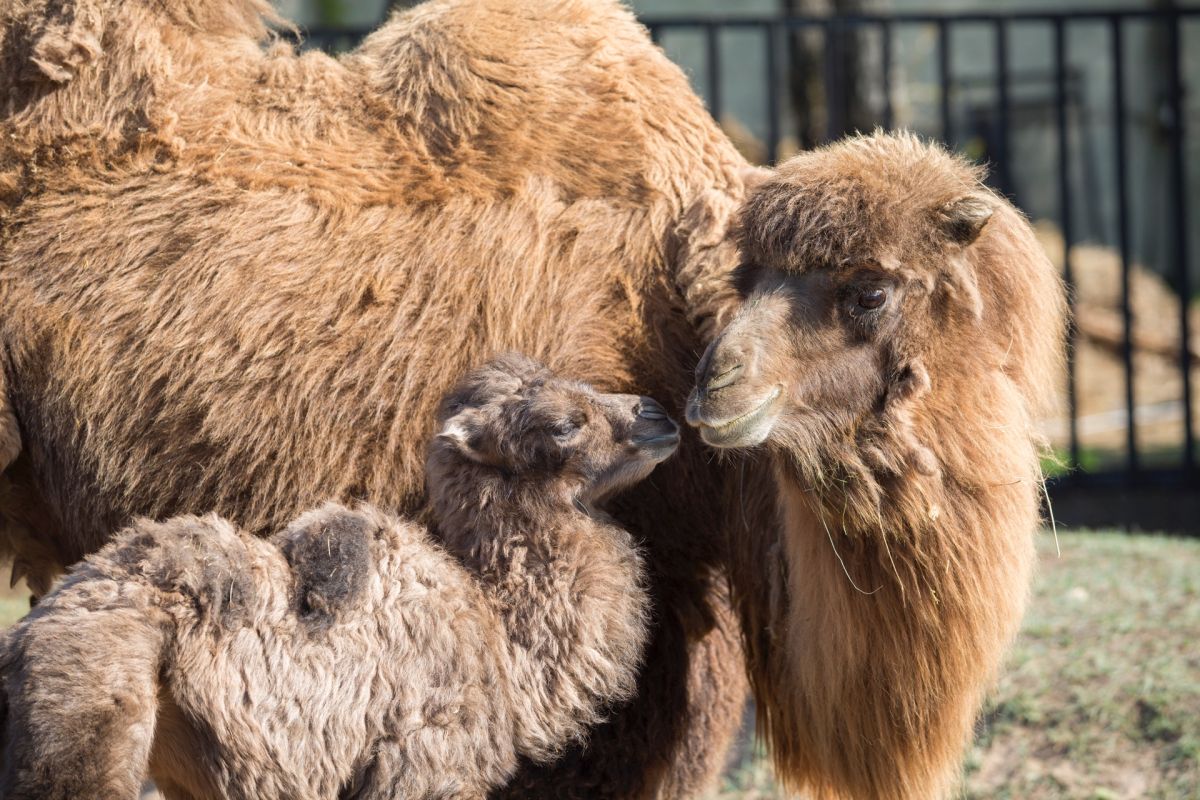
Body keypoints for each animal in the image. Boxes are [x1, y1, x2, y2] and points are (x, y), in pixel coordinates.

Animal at [0, 357, 676, 800]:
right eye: (564, 424)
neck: (498, 635)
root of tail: (28, 638)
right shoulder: (424, 761)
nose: (659, 415)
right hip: (91, 719)